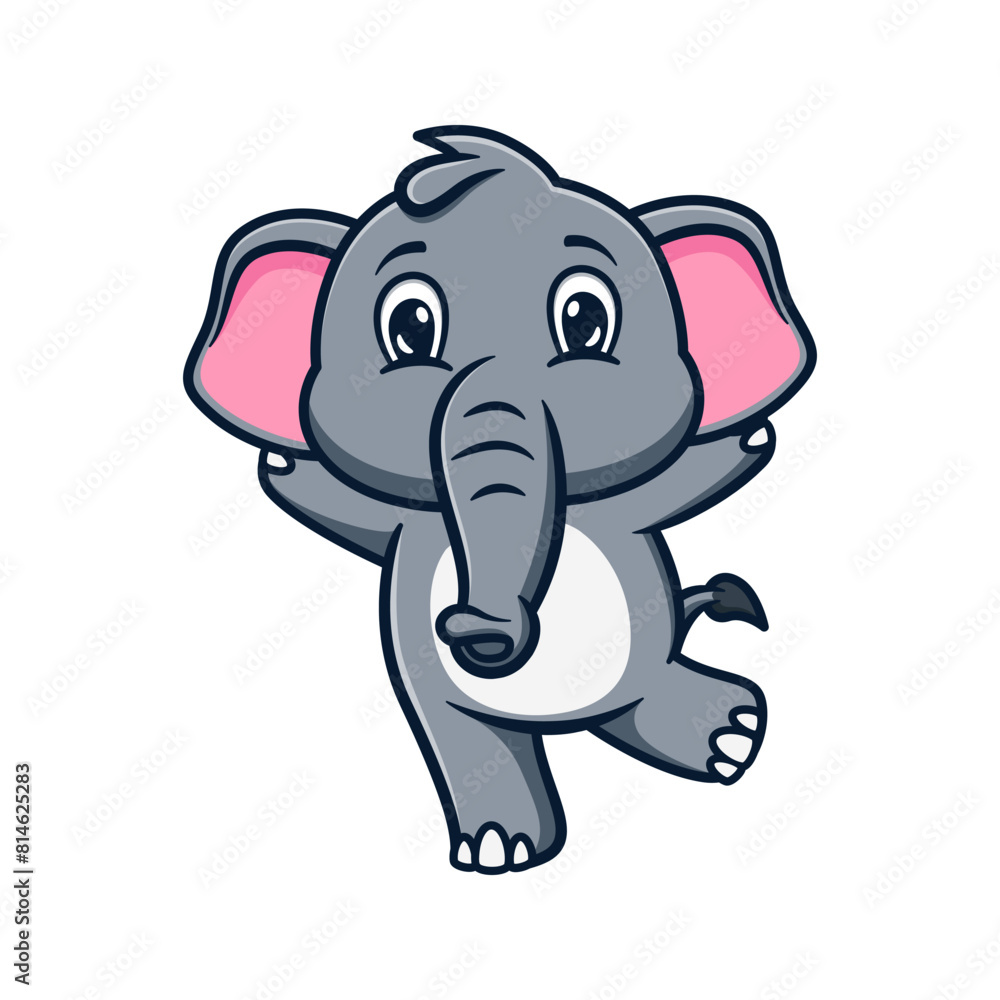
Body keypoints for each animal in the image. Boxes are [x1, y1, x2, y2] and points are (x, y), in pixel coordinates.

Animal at [184, 127, 815, 874]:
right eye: (410, 327)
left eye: (585, 318)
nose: (473, 629)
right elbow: (453, 722)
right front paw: (497, 849)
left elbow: (671, 487)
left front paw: (750, 436)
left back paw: (729, 732)